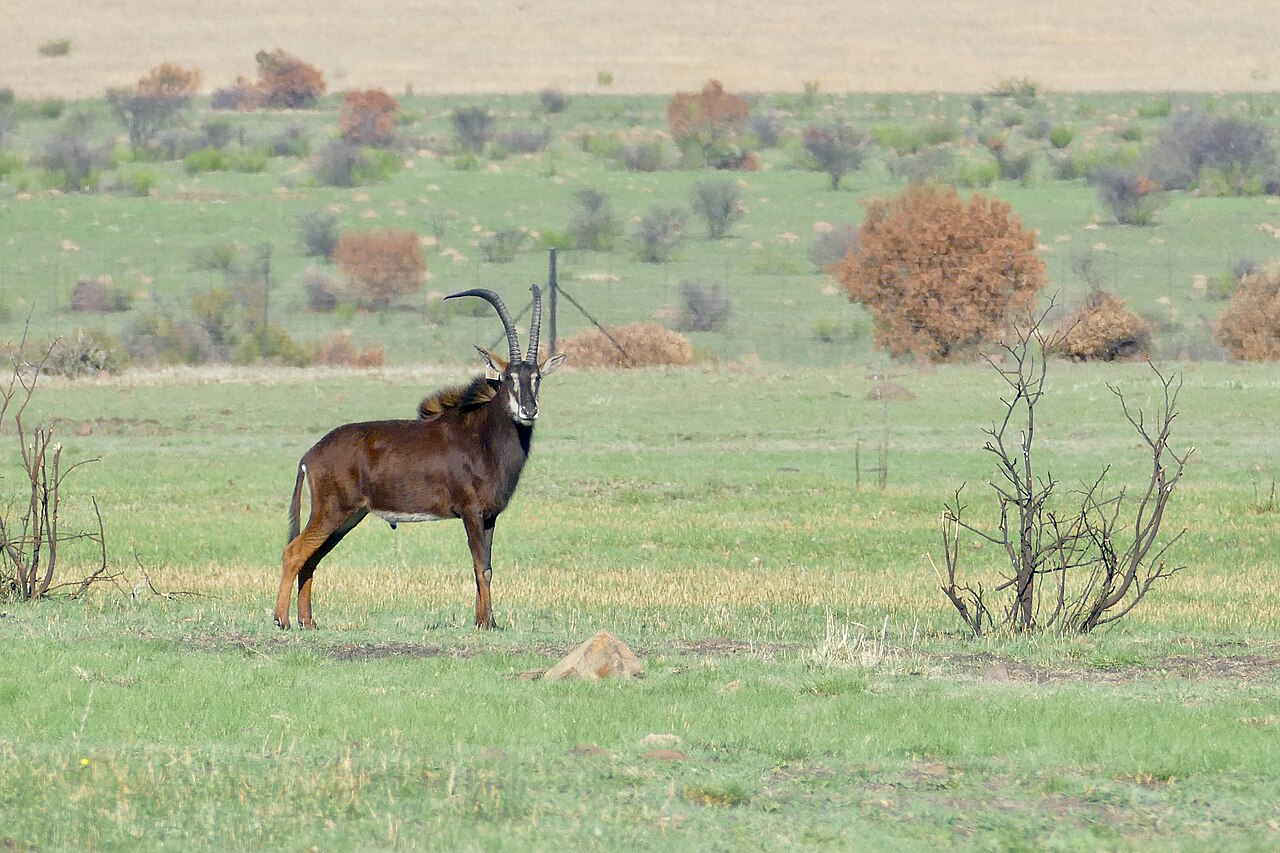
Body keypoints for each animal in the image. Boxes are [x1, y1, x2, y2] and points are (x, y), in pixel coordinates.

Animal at [274, 285, 565, 630]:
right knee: (294, 552)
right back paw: (282, 620)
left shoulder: (490, 516)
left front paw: (485, 621)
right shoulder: (470, 511)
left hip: (348, 517)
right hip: (332, 512)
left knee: (311, 558)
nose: (528, 410)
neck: (482, 436)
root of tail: (311, 455)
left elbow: (486, 567)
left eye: (537, 377)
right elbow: (481, 565)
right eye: (508, 377)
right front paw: (486, 623)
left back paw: (309, 622)